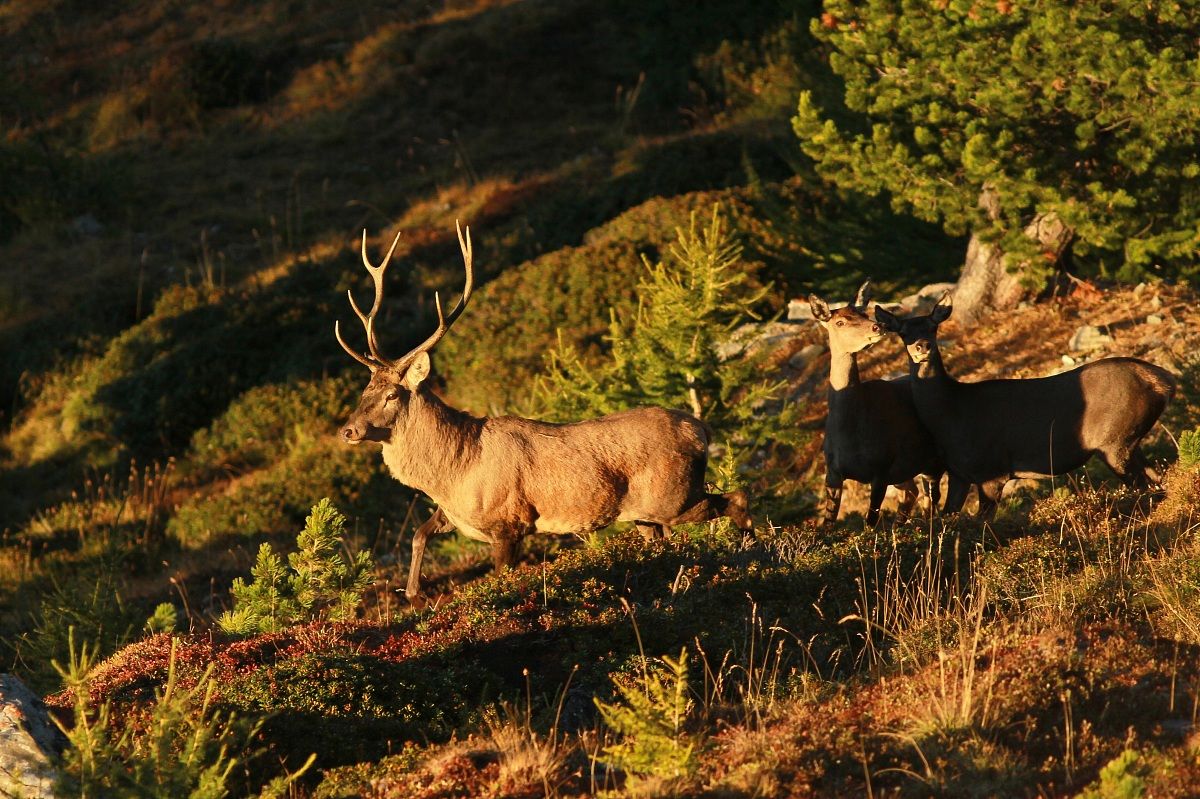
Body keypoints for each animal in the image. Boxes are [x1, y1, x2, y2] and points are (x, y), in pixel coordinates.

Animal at [335, 222, 753, 603]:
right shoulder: (455, 516)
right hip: (646, 515)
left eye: (392, 395)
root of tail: (702, 430)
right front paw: (414, 594)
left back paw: (751, 551)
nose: (348, 430)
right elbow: (418, 535)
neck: (453, 470)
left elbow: (500, 577)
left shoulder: (509, 522)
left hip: (672, 496)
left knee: (738, 498)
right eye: (364, 391)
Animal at [808, 282, 944, 526]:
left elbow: (870, 523)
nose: (877, 326)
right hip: (906, 469)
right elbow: (828, 524)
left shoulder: (881, 468)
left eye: (863, 313)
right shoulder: (832, 472)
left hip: (932, 457)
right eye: (839, 322)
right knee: (913, 492)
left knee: (931, 496)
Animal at [874, 292, 1176, 518]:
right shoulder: (960, 474)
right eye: (903, 333)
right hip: (1129, 442)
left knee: (1145, 487)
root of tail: (1163, 381)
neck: (951, 417)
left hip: (1115, 440)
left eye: (933, 327)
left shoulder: (992, 470)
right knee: (1157, 482)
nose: (922, 346)